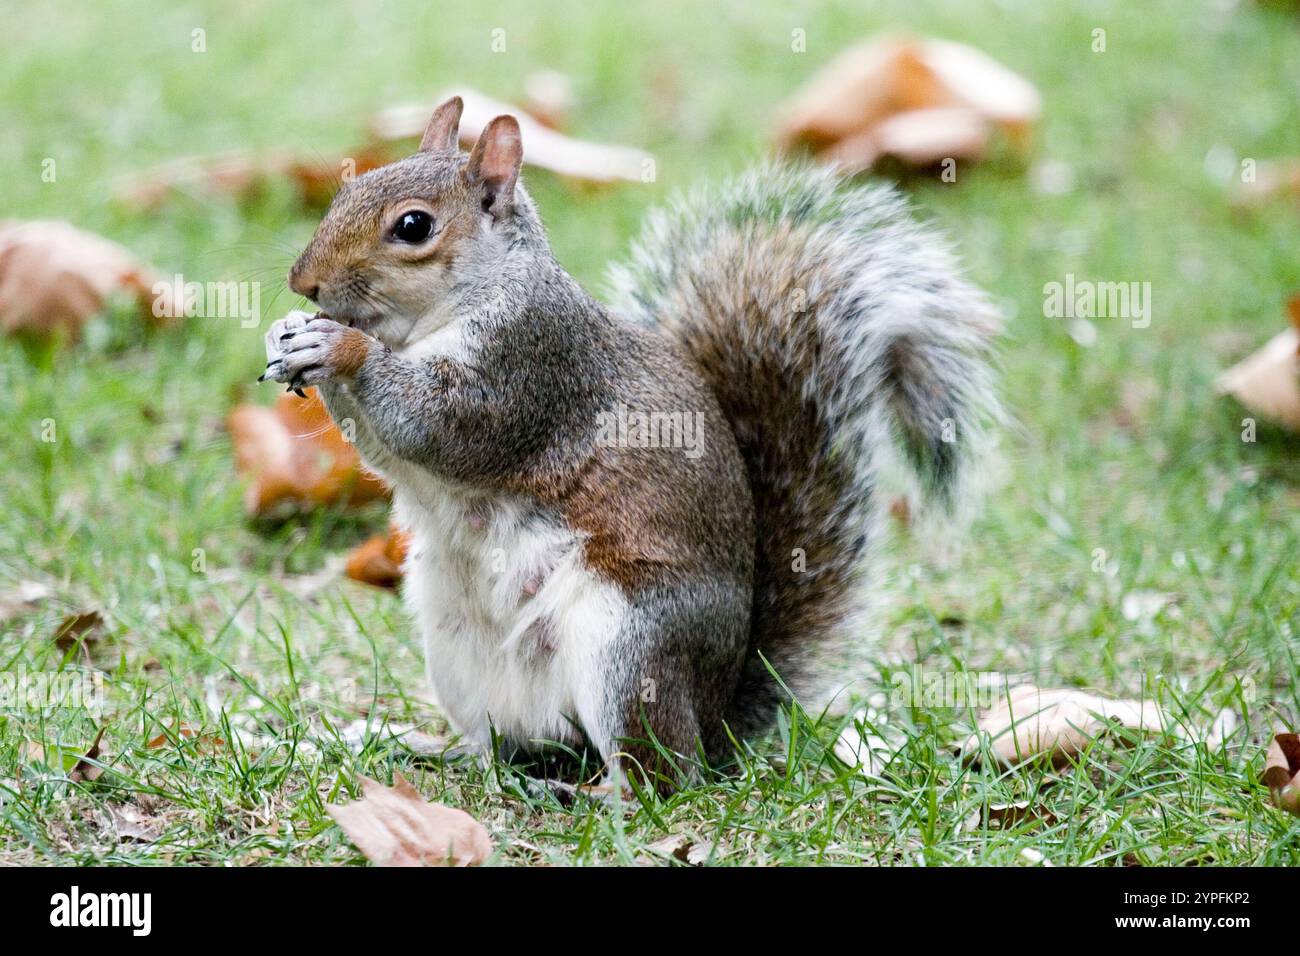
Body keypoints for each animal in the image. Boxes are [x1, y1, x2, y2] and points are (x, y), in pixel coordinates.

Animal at [258, 93, 998, 790]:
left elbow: (435, 424)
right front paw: (288, 333)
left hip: (629, 643)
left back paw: (594, 793)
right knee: (510, 742)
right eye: (347, 191)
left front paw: (341, 346)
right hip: (456, 648)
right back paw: (432, 746)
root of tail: (716, 717)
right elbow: (385, 449)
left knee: (664, 776)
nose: (303, 281)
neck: (445, 312)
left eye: (413, 226)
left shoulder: (526, 369)